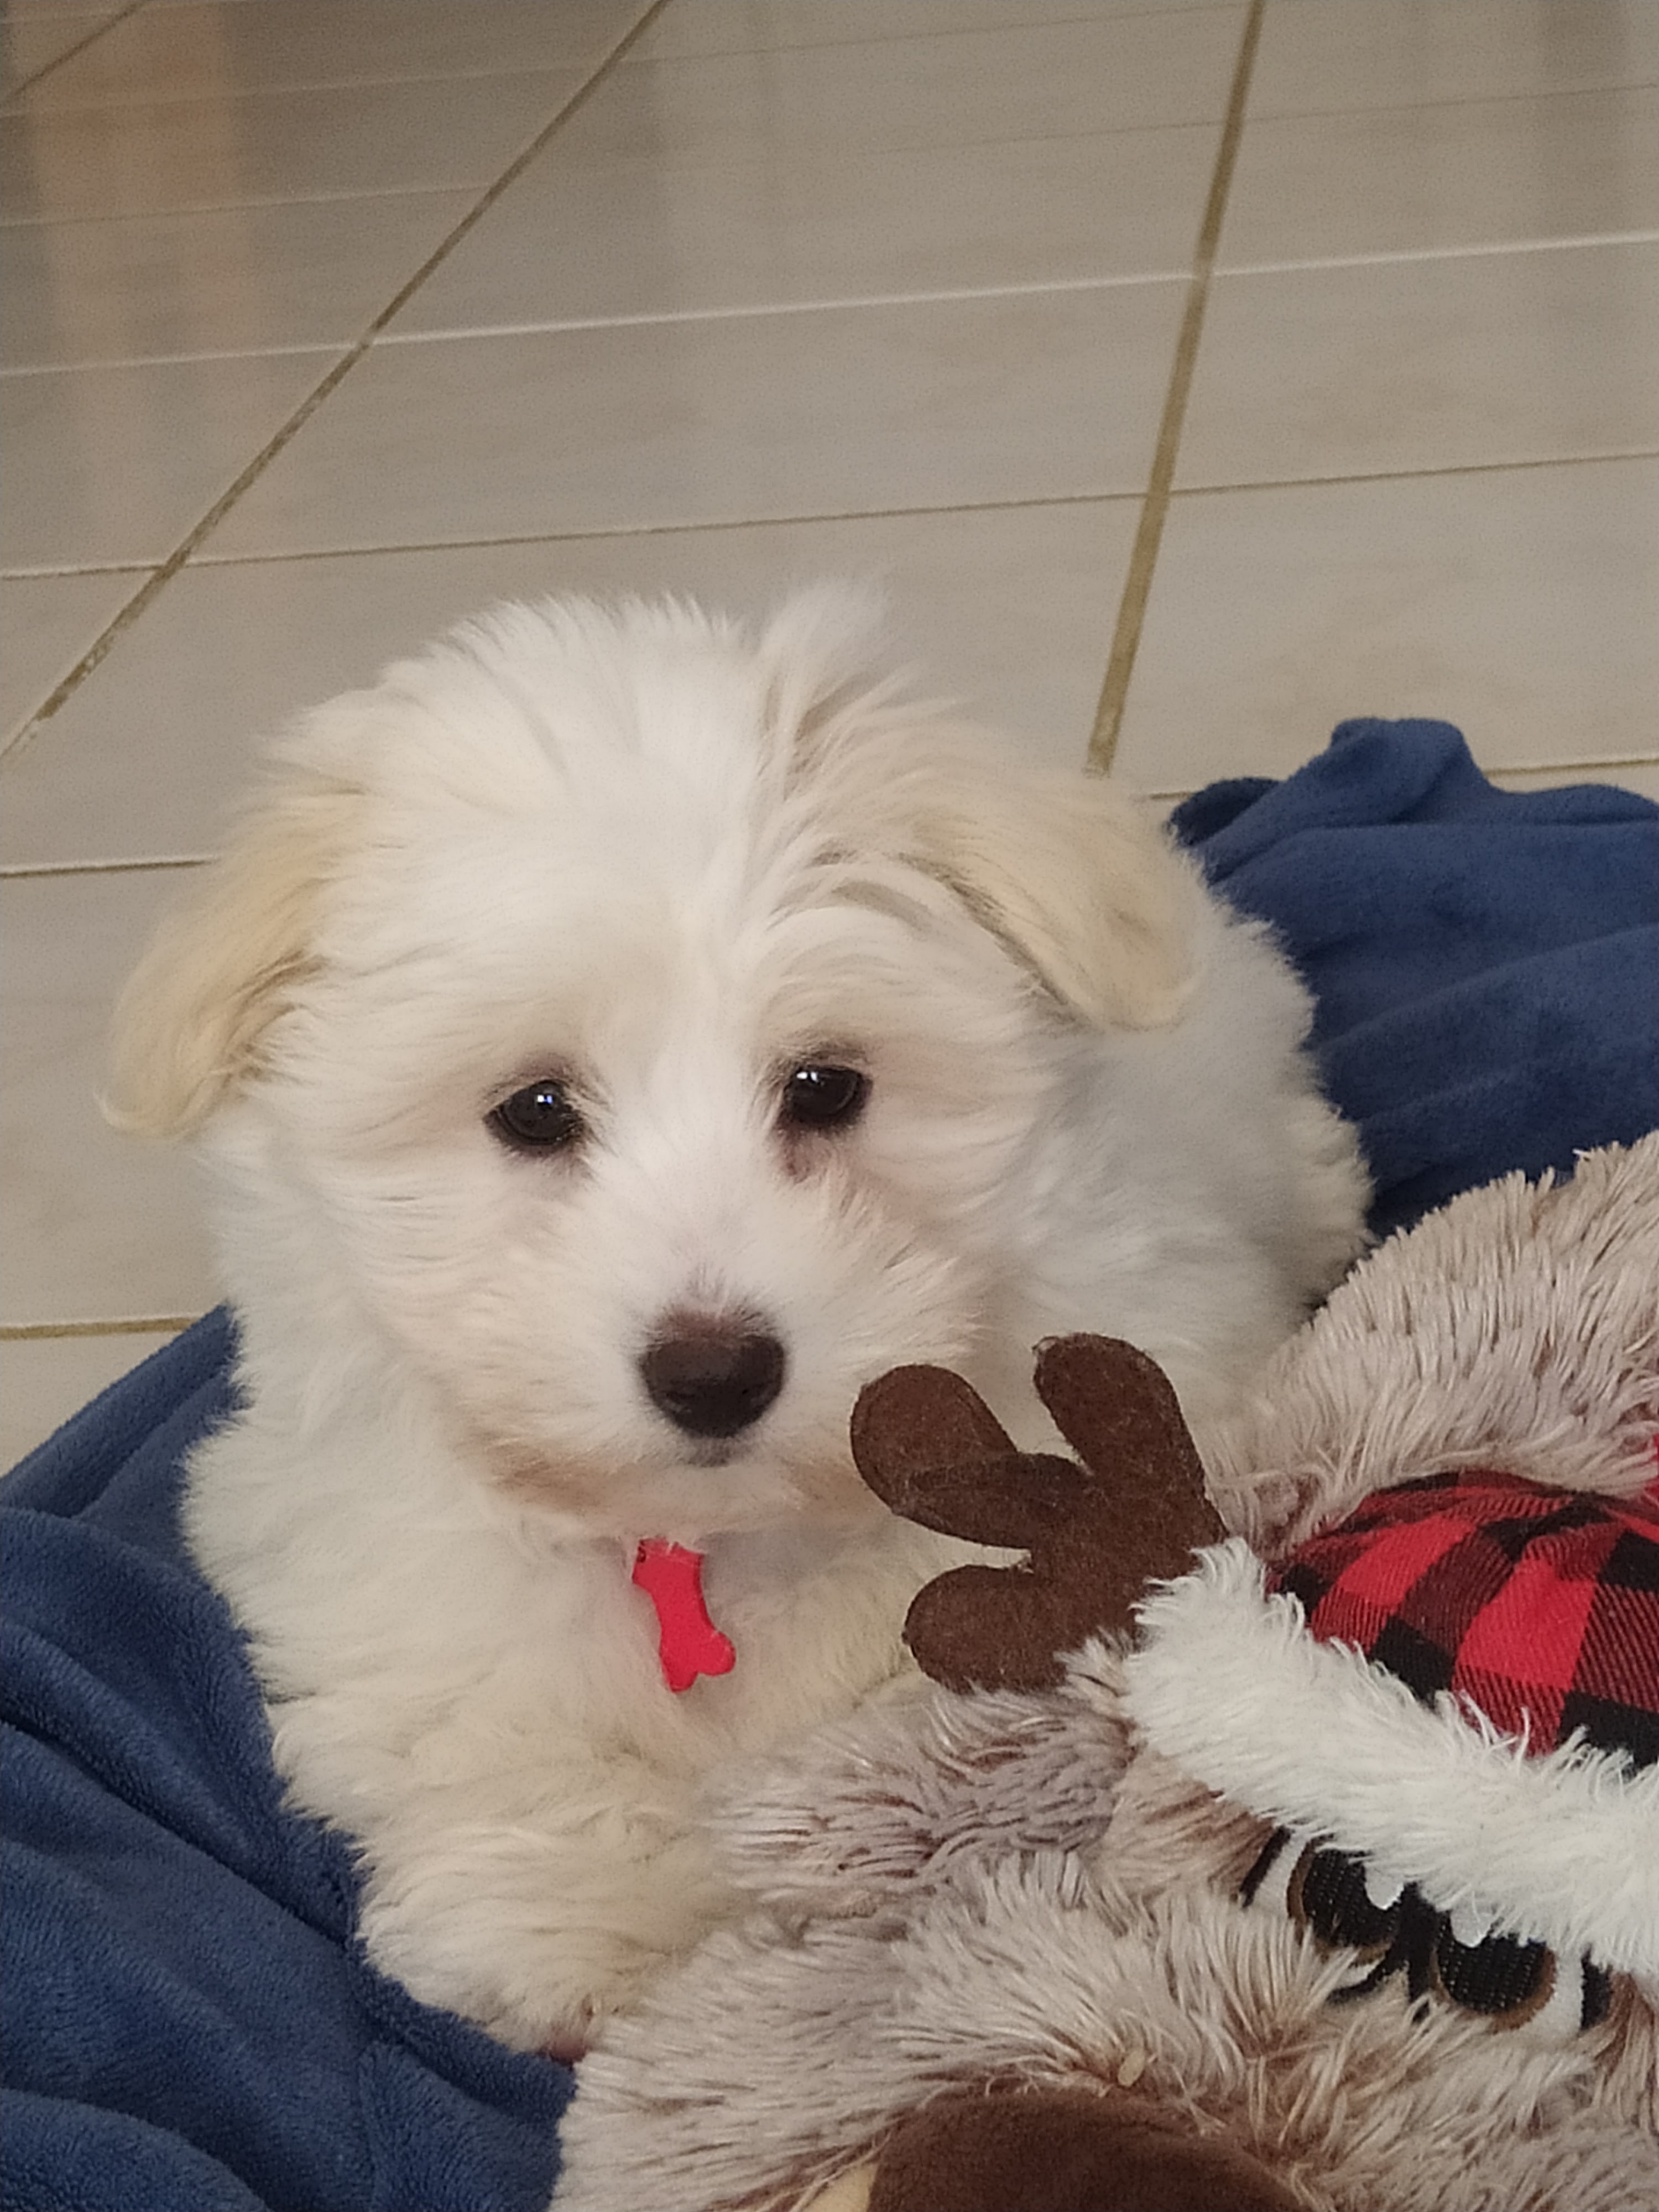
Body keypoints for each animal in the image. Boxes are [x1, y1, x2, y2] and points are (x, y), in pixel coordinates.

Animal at [109, 588, 1368, 2054]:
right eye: (533, 1110)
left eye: (825, 1087)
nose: (712, 1372)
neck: (722, 1533)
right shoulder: (382, 1554)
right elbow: (491, 1709)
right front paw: (579, 1917)